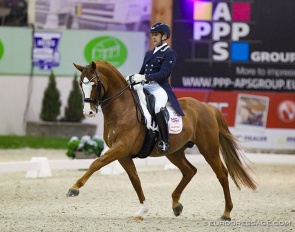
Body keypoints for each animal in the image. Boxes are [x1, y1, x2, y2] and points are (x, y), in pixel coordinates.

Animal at [66, 60, 256, 220]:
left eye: (95, 84)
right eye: (81, 84)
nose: (88, 112)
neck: (122, 108)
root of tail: (206, 107)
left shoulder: (121, 148)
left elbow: (96, 163)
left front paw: (74, 188)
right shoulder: (123, 154)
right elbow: (135, 179)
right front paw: (142, 210)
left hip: (208, 148)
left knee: (222, 173)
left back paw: (226, 213)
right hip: (174, 152)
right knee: (189, 171)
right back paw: (176, 205)